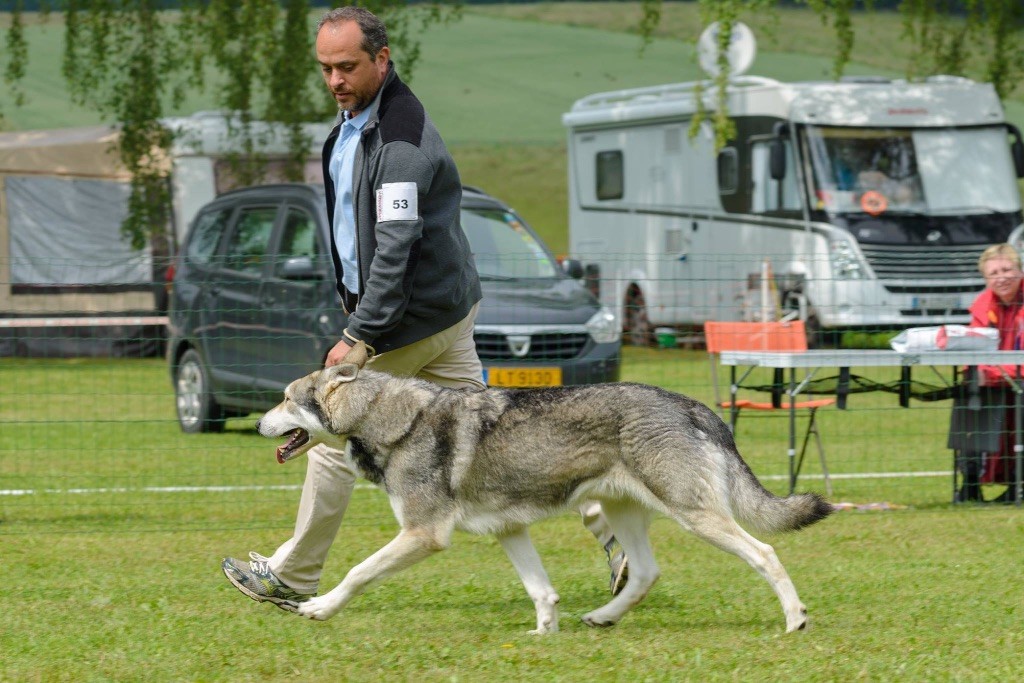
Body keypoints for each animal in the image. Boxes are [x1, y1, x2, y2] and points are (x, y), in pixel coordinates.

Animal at [255, 342, 833, 634]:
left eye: (284, 399)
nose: (259, 424)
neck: (388, 418)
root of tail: (690, 404)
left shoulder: (423, 535)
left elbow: (356, 572)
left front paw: (318, 608)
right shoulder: (509, 530)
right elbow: (541, 589)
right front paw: (543, 632)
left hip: (696, 516)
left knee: (765, 552)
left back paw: (795, 620)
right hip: (625, 512)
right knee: (645, 573)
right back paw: (603, 617)